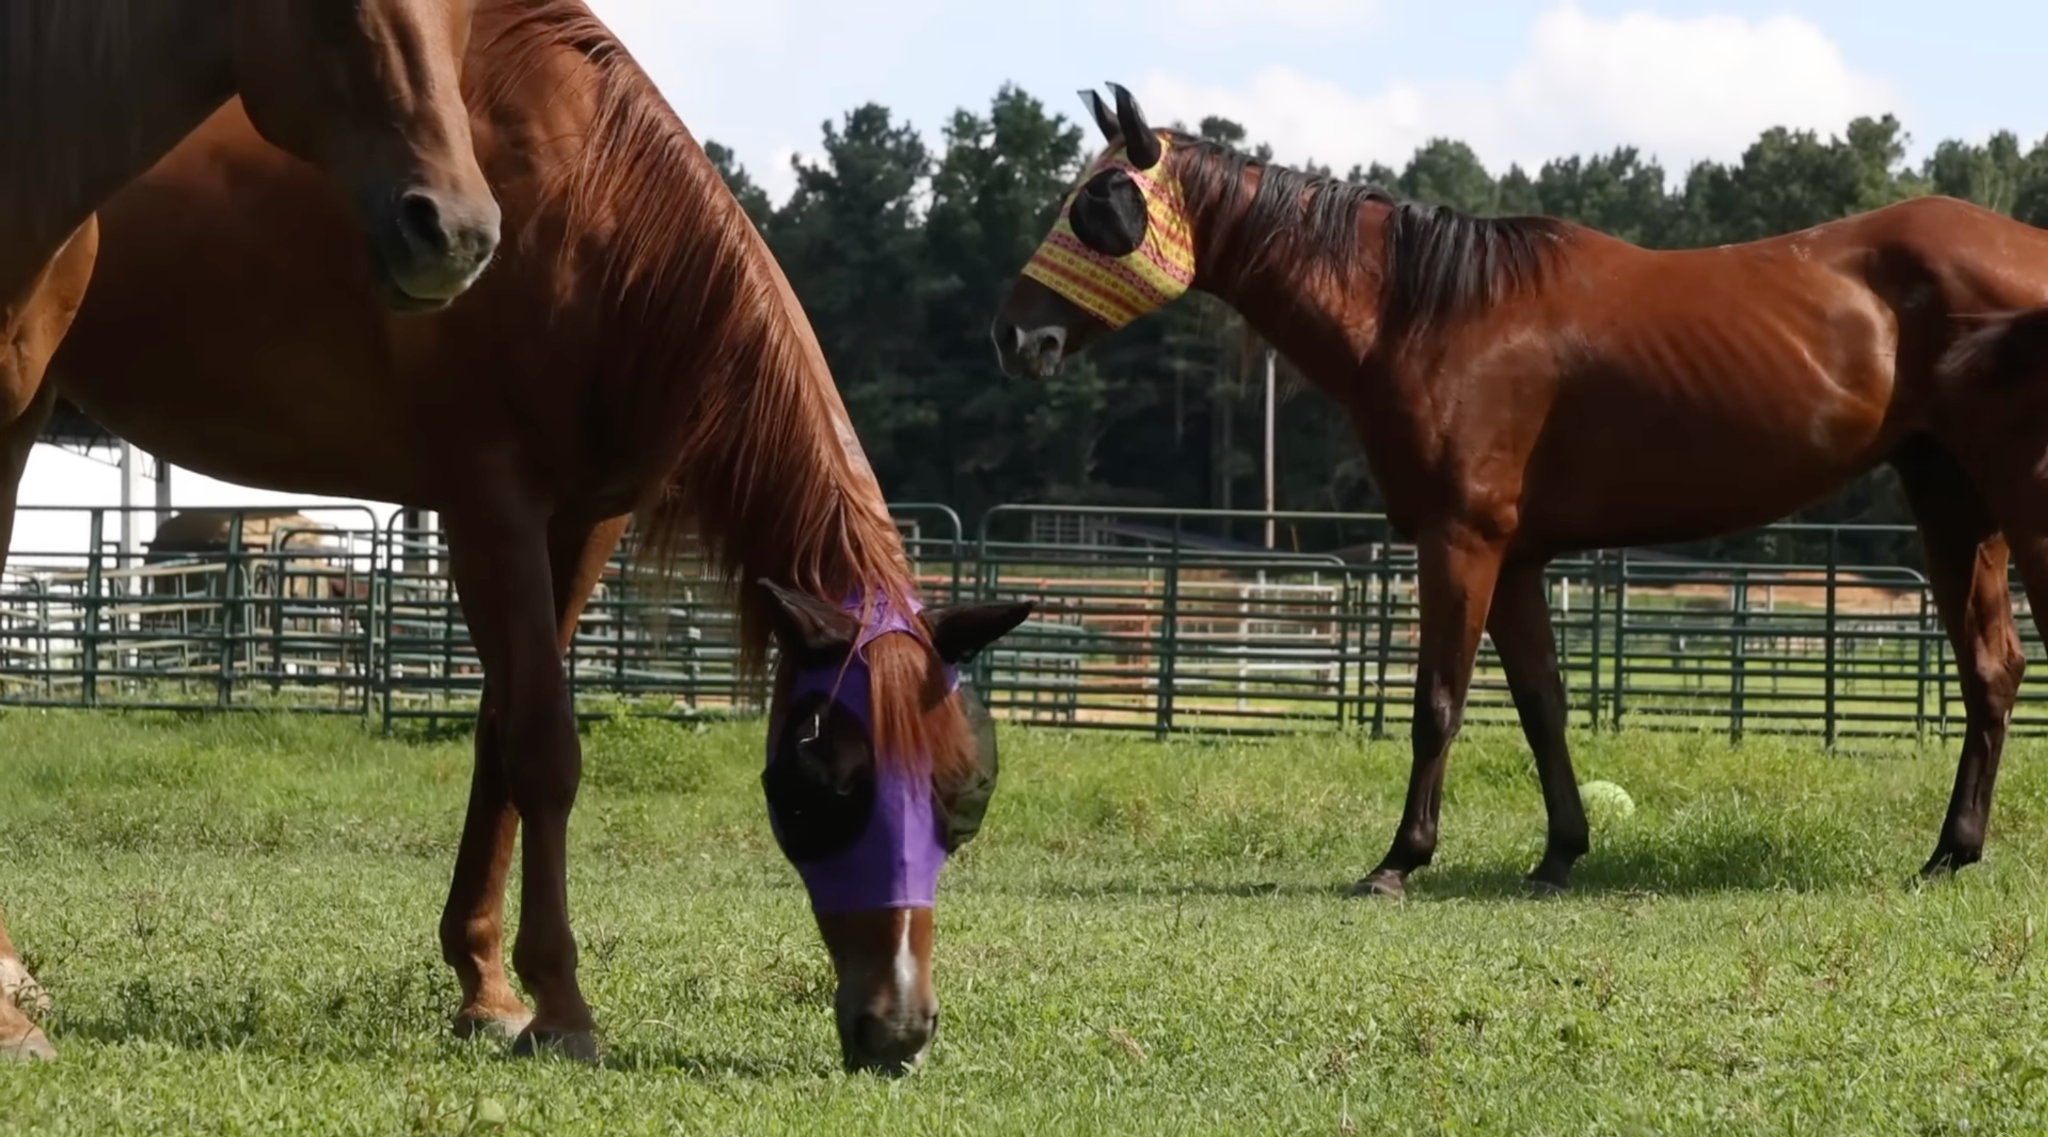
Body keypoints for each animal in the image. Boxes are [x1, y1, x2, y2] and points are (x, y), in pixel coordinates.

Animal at [990, 83, 2048, 901]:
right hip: (1952, 503)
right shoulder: (1521, 558)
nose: (1014, 337)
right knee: (1992, 670)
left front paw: (1399, 861)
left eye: (1100, 205)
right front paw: (1559, 854)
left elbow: (1437, 701)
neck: (1428, 311)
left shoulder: (1461, 541)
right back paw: (1949, 854)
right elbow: (1541, 704)